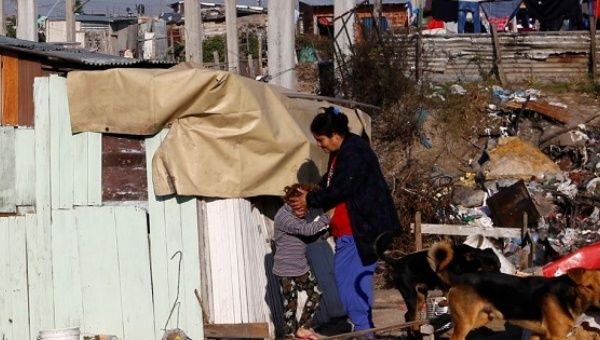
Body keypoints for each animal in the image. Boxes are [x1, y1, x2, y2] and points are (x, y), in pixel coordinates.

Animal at [446, 268, 600, 340]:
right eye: (588, 287)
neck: (568, 294)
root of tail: (458, 279)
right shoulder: (556, 336)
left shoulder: (538, 334)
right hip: (465, 323)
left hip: (481, 319)